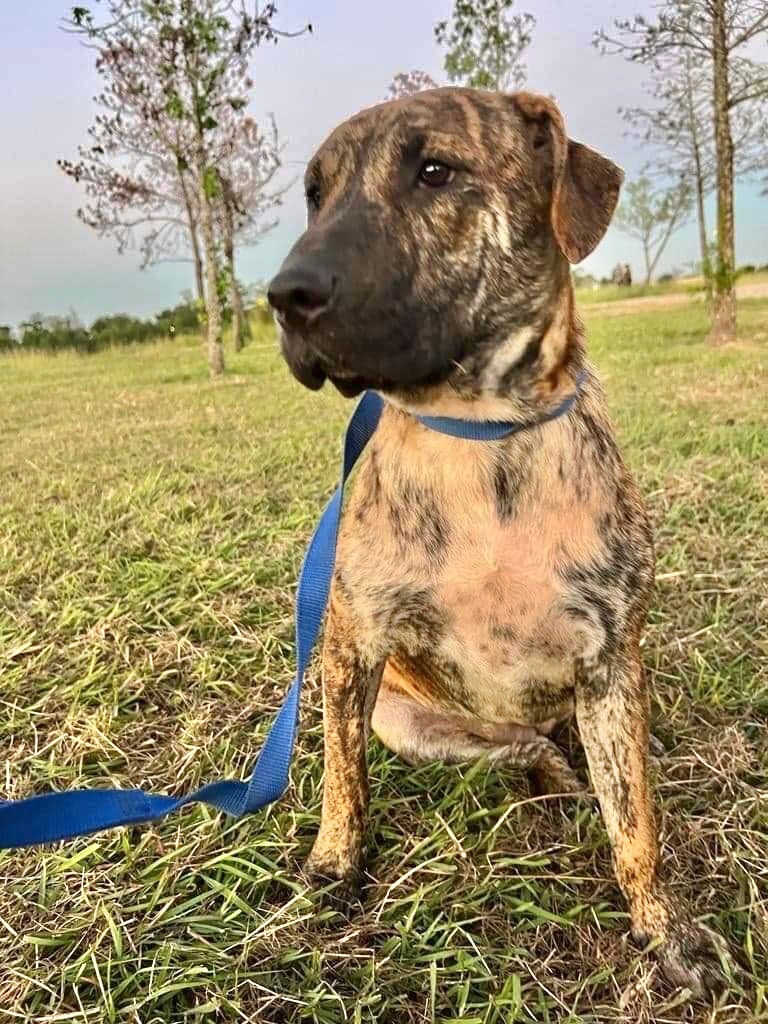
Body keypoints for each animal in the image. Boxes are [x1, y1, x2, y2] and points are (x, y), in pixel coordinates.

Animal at [268, 88, 729, 999]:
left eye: (434, 170)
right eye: (314, 194)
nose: (284, 295)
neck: (481, 435)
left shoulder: (609, 660)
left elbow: (638, 827)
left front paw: (667, 930)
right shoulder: (350, 648)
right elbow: (343, 776)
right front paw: (334, 868)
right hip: (414, 720)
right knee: (524, 752)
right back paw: (551, 777)